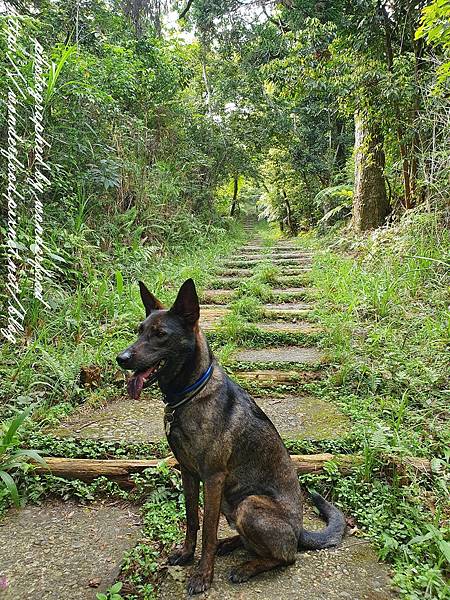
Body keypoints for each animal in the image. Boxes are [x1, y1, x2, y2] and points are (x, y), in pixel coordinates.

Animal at [118, 278, 346, 592]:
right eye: (139, 330)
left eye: (160, 334)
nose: (121, 358)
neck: (189, 395)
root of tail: (300, 530)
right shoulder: (187, 472)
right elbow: (192, 519)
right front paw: (187, 555)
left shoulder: (213, 478)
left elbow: (208, 532)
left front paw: (203, 574)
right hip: (231, 504)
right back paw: (231, 544)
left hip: (248, 505)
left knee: (286, 556)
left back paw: (247, 566)